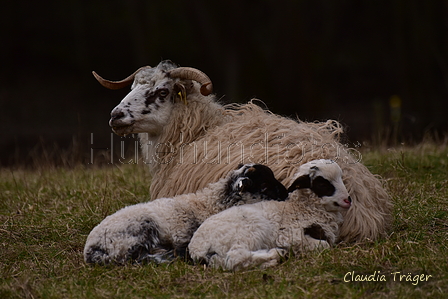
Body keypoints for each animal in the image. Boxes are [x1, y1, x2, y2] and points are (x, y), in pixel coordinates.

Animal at [83, 164, 288, 264]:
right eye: (264, 185)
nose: (286, 193)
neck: (210, 203)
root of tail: (91, 250)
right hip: (139, 229)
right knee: (136, 258)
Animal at [187, 159, 352, 272]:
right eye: (323, 184)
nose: (348, 200)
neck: (302, 209)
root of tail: (197, 249)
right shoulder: (291, 235)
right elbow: (324, 245)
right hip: (250, 230)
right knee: (235, 257)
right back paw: (277, 253)